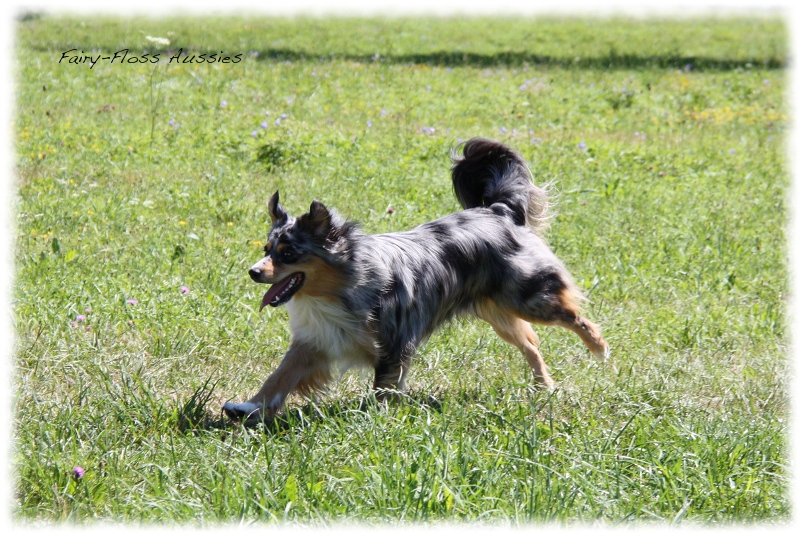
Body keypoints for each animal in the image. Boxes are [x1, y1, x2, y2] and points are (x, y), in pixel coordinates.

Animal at [222, 137, 608, 424]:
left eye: (288, 254)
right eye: (267, 248)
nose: (253, 272)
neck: (338, 289)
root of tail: (497, 211)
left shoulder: (393, 343)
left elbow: (383, 388)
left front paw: (374, 418)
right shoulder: (316, 340)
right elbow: (280, 375)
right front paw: (248, 407)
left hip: (526, 297)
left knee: (574, 315)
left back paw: (599, 348)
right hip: (499, 313)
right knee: (531, 344)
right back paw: (545, 386)